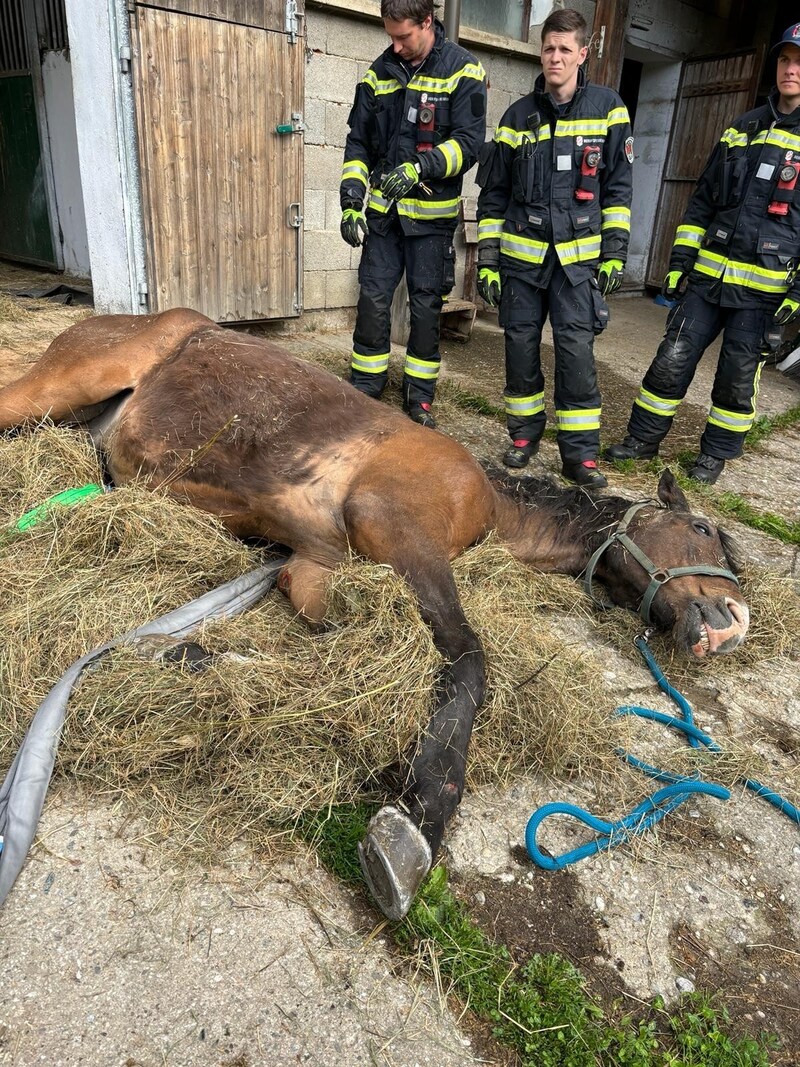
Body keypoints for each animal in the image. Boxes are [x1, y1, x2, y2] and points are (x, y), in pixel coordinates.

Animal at [0, 307, 750, 917]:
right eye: (703, 530)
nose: (732, 621)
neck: (485, 497)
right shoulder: (394, 526)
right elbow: (467, 658)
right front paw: (419, 817)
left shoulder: (316, 565)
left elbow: (343, 651)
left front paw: (193, 656)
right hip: (64, 385)